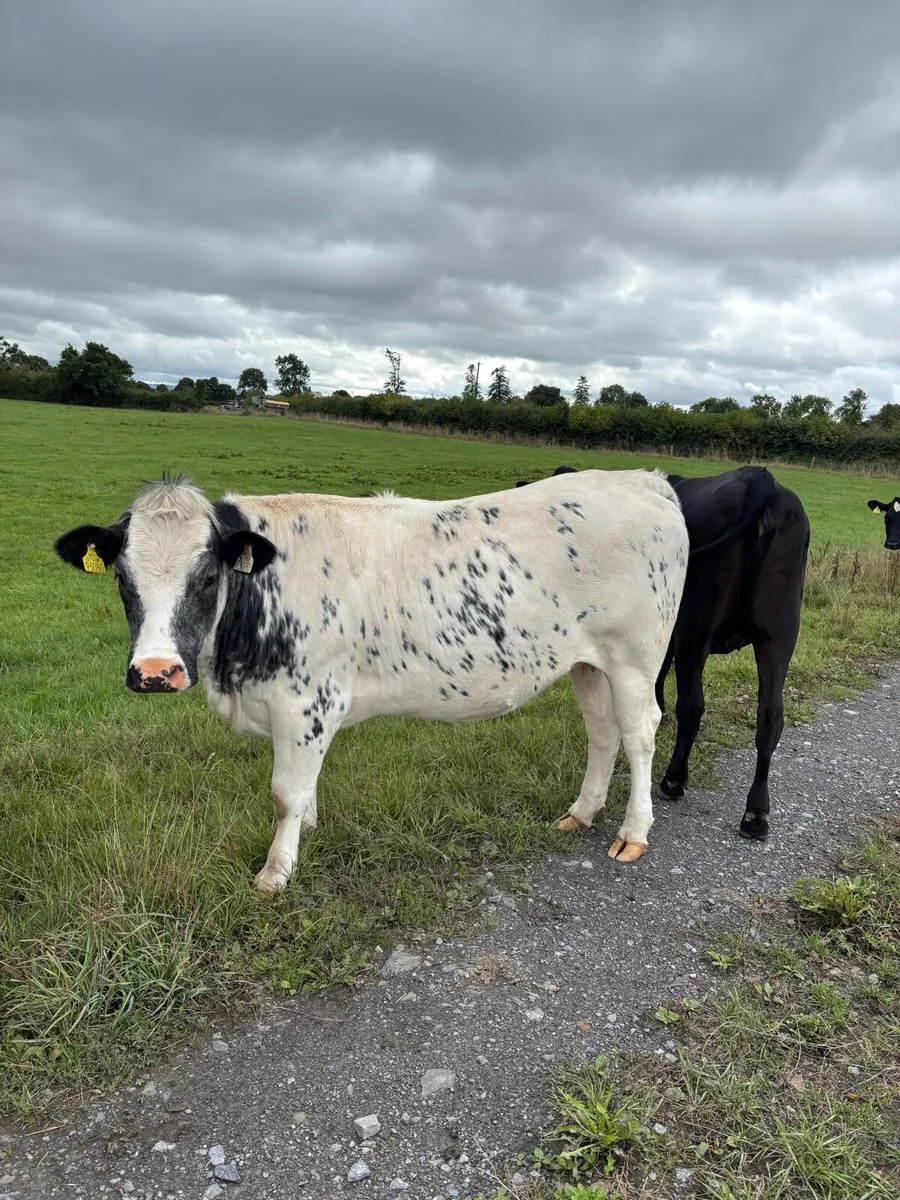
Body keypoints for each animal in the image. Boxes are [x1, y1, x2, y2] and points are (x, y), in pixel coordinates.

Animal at [55, 470, 689, 892]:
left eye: (207, 577)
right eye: (122, 579)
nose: (155, 672)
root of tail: (641, 479)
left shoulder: (305, 704)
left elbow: (285, 793)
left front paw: (275, 872)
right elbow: (304, 789)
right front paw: (305, 836)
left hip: (635, 657)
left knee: (640, 733)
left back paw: (633, 832)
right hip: (586, 661)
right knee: (602, 732)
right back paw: (581, 811)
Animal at [515, 465, 810, 839]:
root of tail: (759, 478)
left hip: (697, 631)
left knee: (693, 706)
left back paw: (674, 779)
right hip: (779, 634)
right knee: (770, 715)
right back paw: (756, 812)